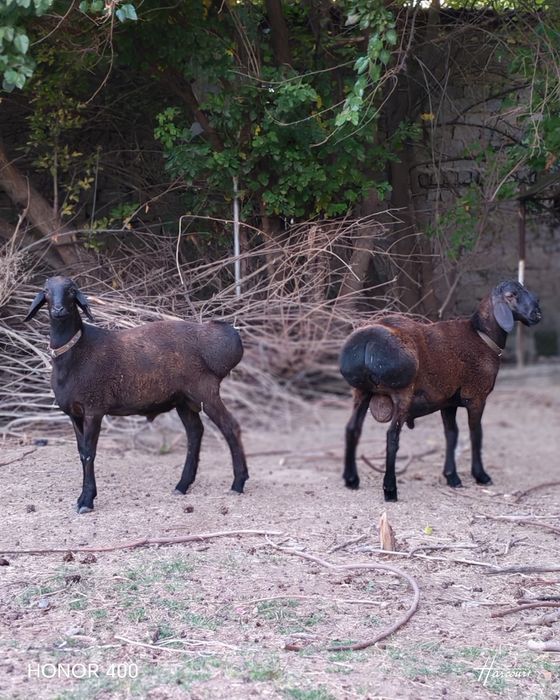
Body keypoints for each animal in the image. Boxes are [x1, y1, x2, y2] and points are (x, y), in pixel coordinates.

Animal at [25, 276, 249, 513]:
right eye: (46, 291)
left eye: (71, 291)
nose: (58, 310)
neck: (76, 352)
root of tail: (221, 336)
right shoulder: (74, 414)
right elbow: (81, 452)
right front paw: (83, 498)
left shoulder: (94, 409)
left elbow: (89, 453)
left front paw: (86, 500)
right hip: (183, 399)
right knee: (195, 432)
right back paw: (182, 485)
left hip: (205, 391)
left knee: (230, 426)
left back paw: (238, 483)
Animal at [339, 280, 541, 501]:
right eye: (511, 295)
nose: (537, 314)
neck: (482, 335)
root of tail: (367, 343)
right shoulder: (476, 396)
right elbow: (476, 434)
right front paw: (480, 475)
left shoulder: (448, 401)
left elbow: (451, 435)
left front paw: (452, 477)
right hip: (402, 392)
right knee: (392, 436)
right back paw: (390, 490)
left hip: (361, 391)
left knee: (352, 429)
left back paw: (351, 480)